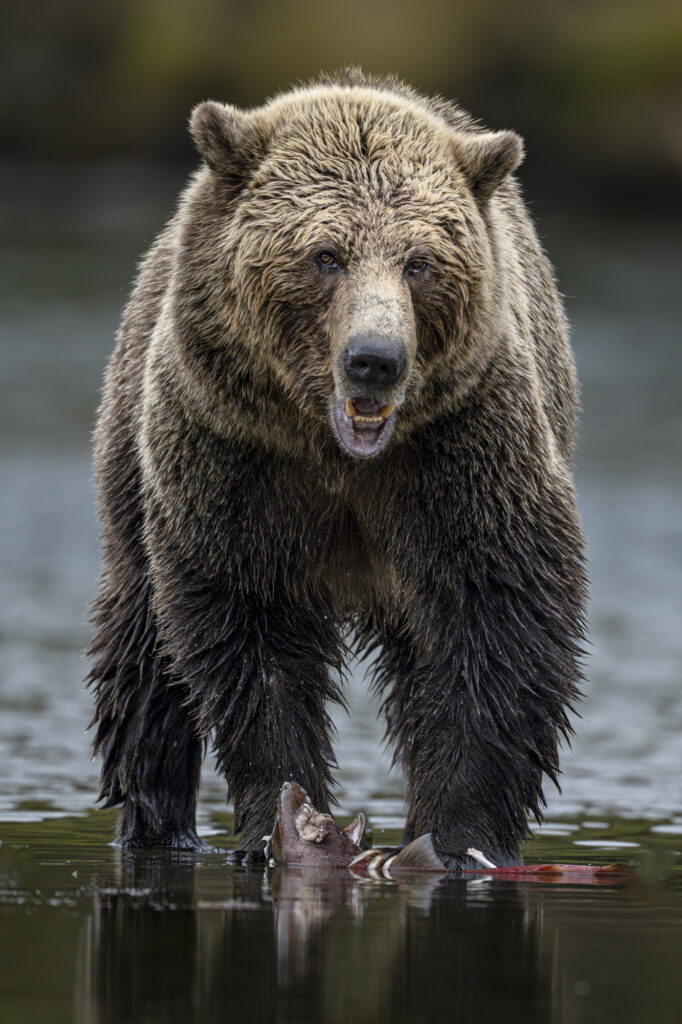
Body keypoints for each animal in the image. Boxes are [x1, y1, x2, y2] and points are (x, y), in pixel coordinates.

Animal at [88, 69, 586, 867]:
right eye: (326, 254)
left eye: (419, 261)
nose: (375, 359)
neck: (340, 456)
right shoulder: (239, 461)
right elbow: (250, 641)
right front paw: (284, 820)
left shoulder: (462, 458)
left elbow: (497, 620)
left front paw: (458, 838)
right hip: (135, 457)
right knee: (143, 655)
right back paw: (159, 826)